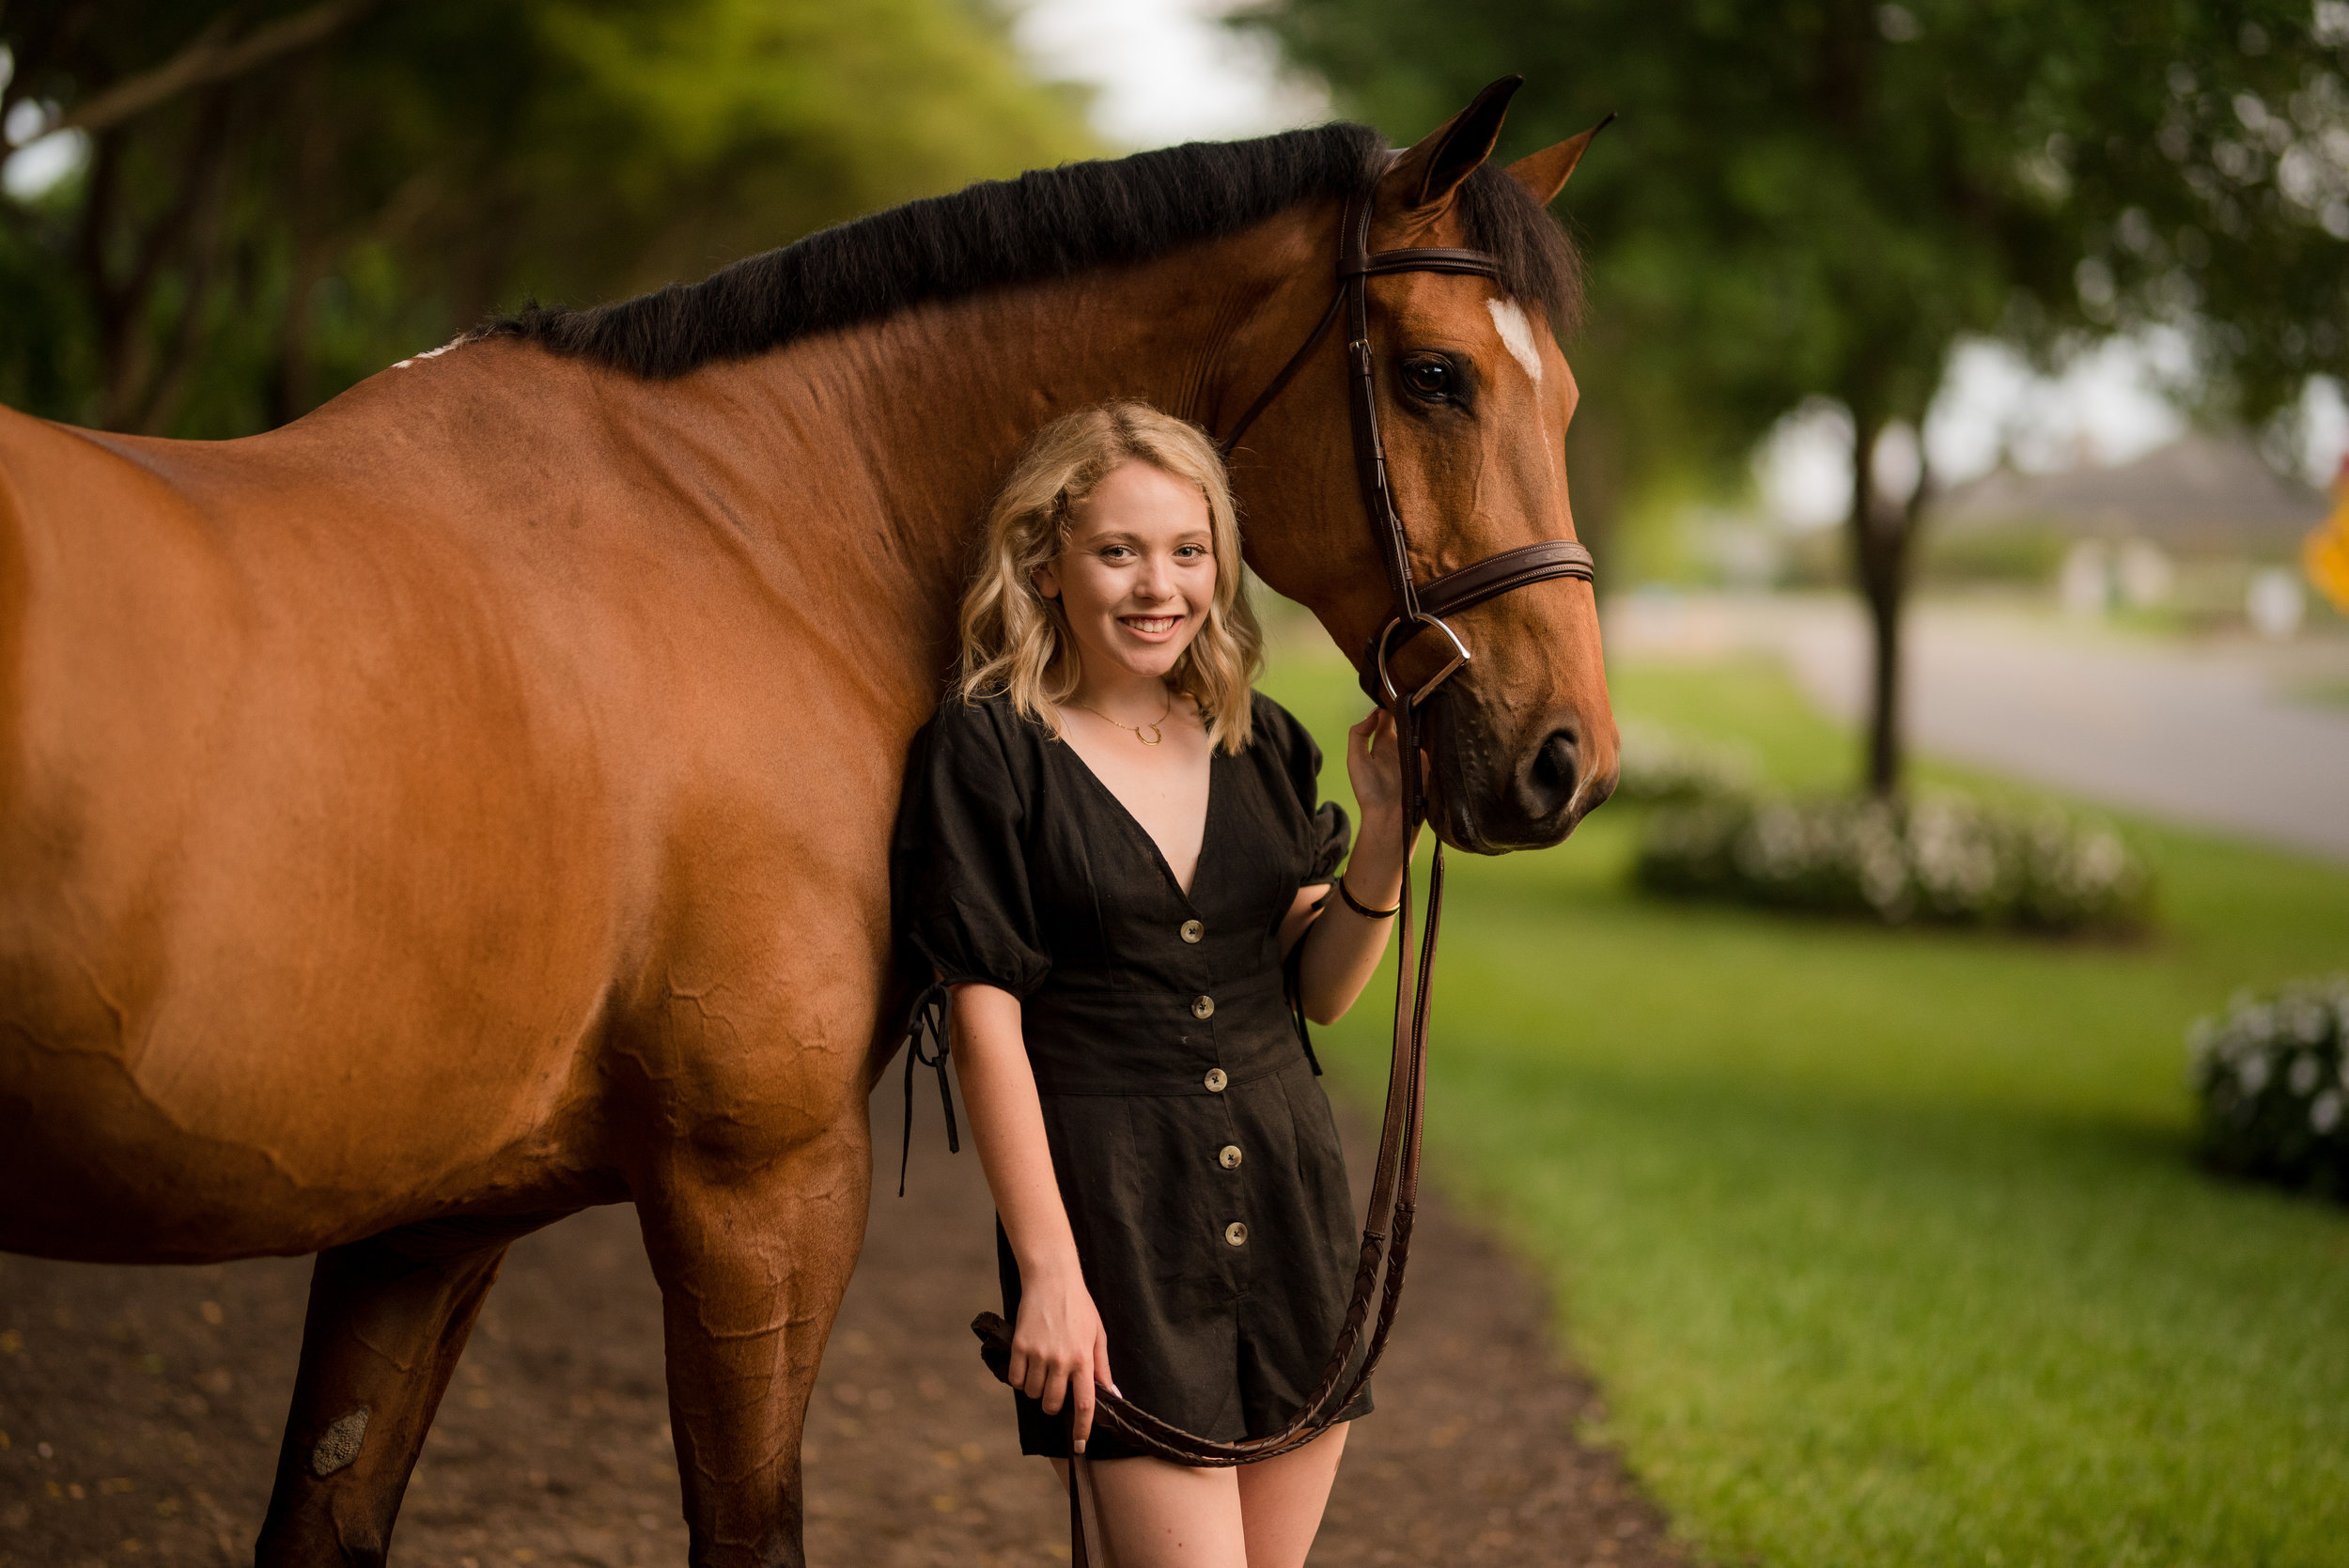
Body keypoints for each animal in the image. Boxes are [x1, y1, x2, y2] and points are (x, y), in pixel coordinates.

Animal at [0, 78, 1617, 1566]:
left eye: (1566, 403)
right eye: (1435, 376)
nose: (1569, 761)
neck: (760, 531)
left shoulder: (422, 1220)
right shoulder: (761, 1194)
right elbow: (751, 1522)